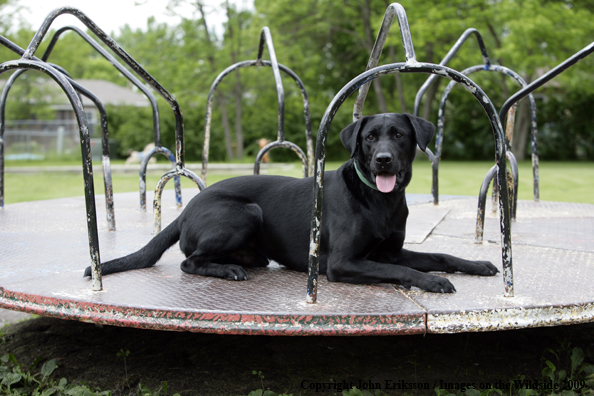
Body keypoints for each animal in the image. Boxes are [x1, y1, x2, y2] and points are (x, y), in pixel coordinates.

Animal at [85, 113, 498, 292]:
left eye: (398, 135)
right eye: (369, 138)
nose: (383, 160)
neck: (378, 201)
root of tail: (188, 208)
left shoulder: (391, 251)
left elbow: (439, 255)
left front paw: (476, 264)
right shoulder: (343, 264)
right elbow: (403, 271)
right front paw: (433, 281)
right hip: (246, 212)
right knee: (189, 262)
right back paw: (227, 270)